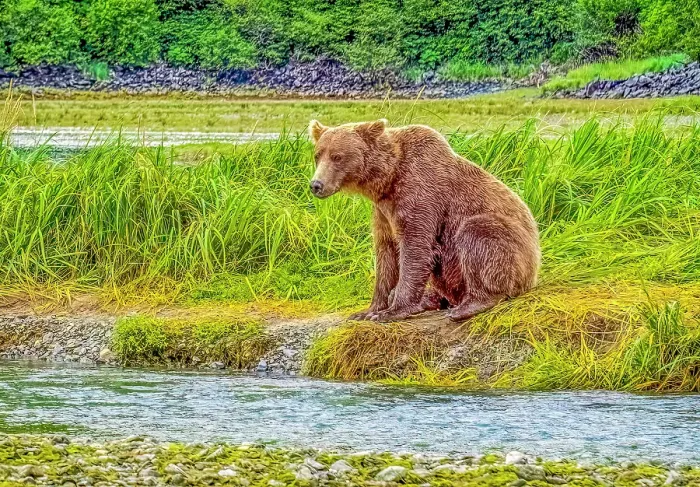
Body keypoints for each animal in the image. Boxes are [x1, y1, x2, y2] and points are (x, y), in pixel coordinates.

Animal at [308, 119, 540, 322]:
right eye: (318, 155)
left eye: (337, 156)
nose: (316, 184)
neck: (388, 179)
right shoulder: (383, 212)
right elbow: (386, 255)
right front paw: (369, 310)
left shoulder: (421, 192)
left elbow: (415, 247)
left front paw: (391, 312)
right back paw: (428, 300)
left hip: (512, 247)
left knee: (478, 236)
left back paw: (468, 306)